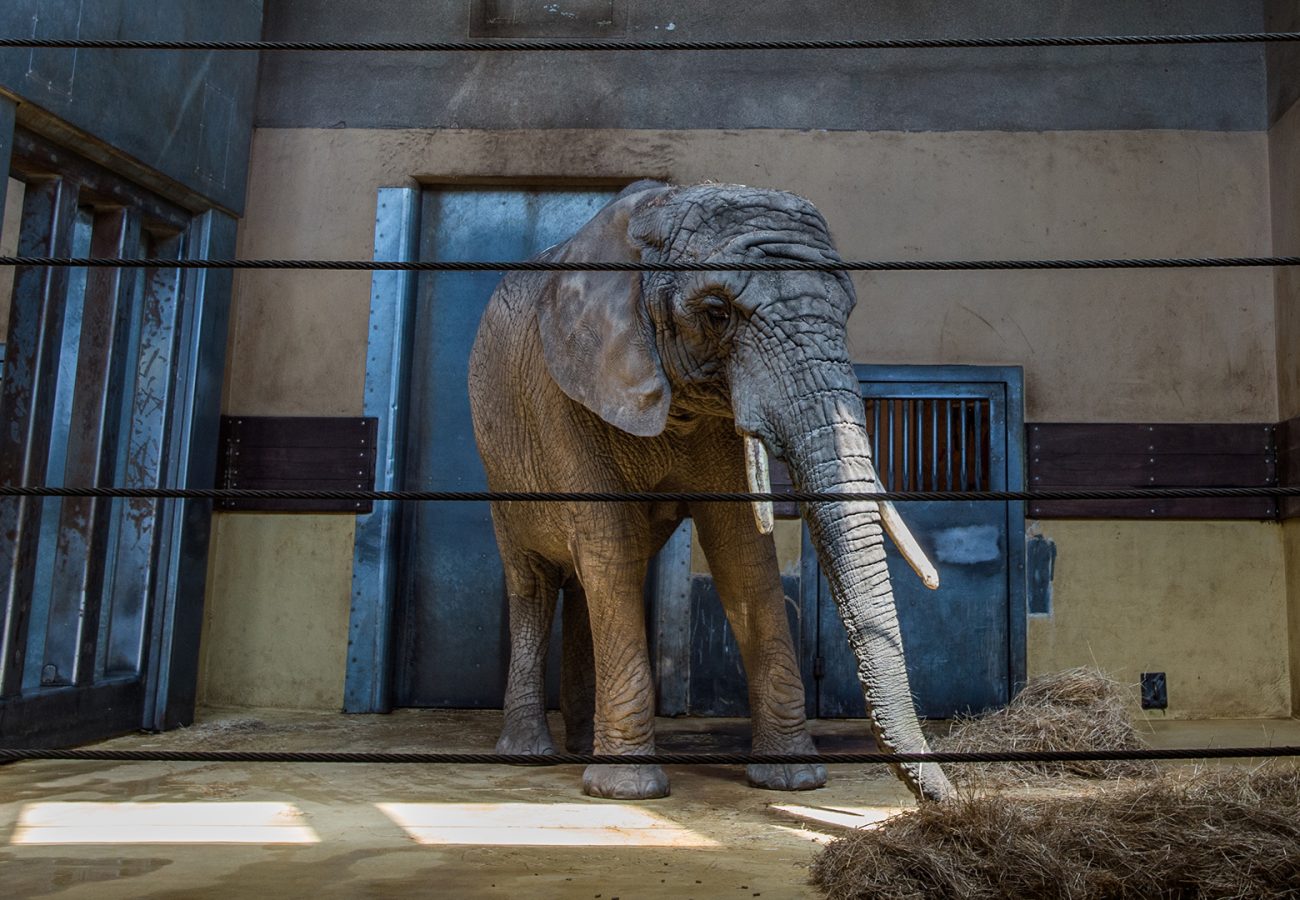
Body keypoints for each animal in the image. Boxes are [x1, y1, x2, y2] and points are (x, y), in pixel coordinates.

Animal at [467, 178, 956, 801]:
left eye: (846, 311)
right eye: (717, 313)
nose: (952, 798)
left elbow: (741, 549)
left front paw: (792, 779)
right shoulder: (563, 393)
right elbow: (609, 540)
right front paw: (629, 791)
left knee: (583, 582)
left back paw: (579, 746)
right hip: (500, 464)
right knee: (534, 583)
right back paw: (529, 754)